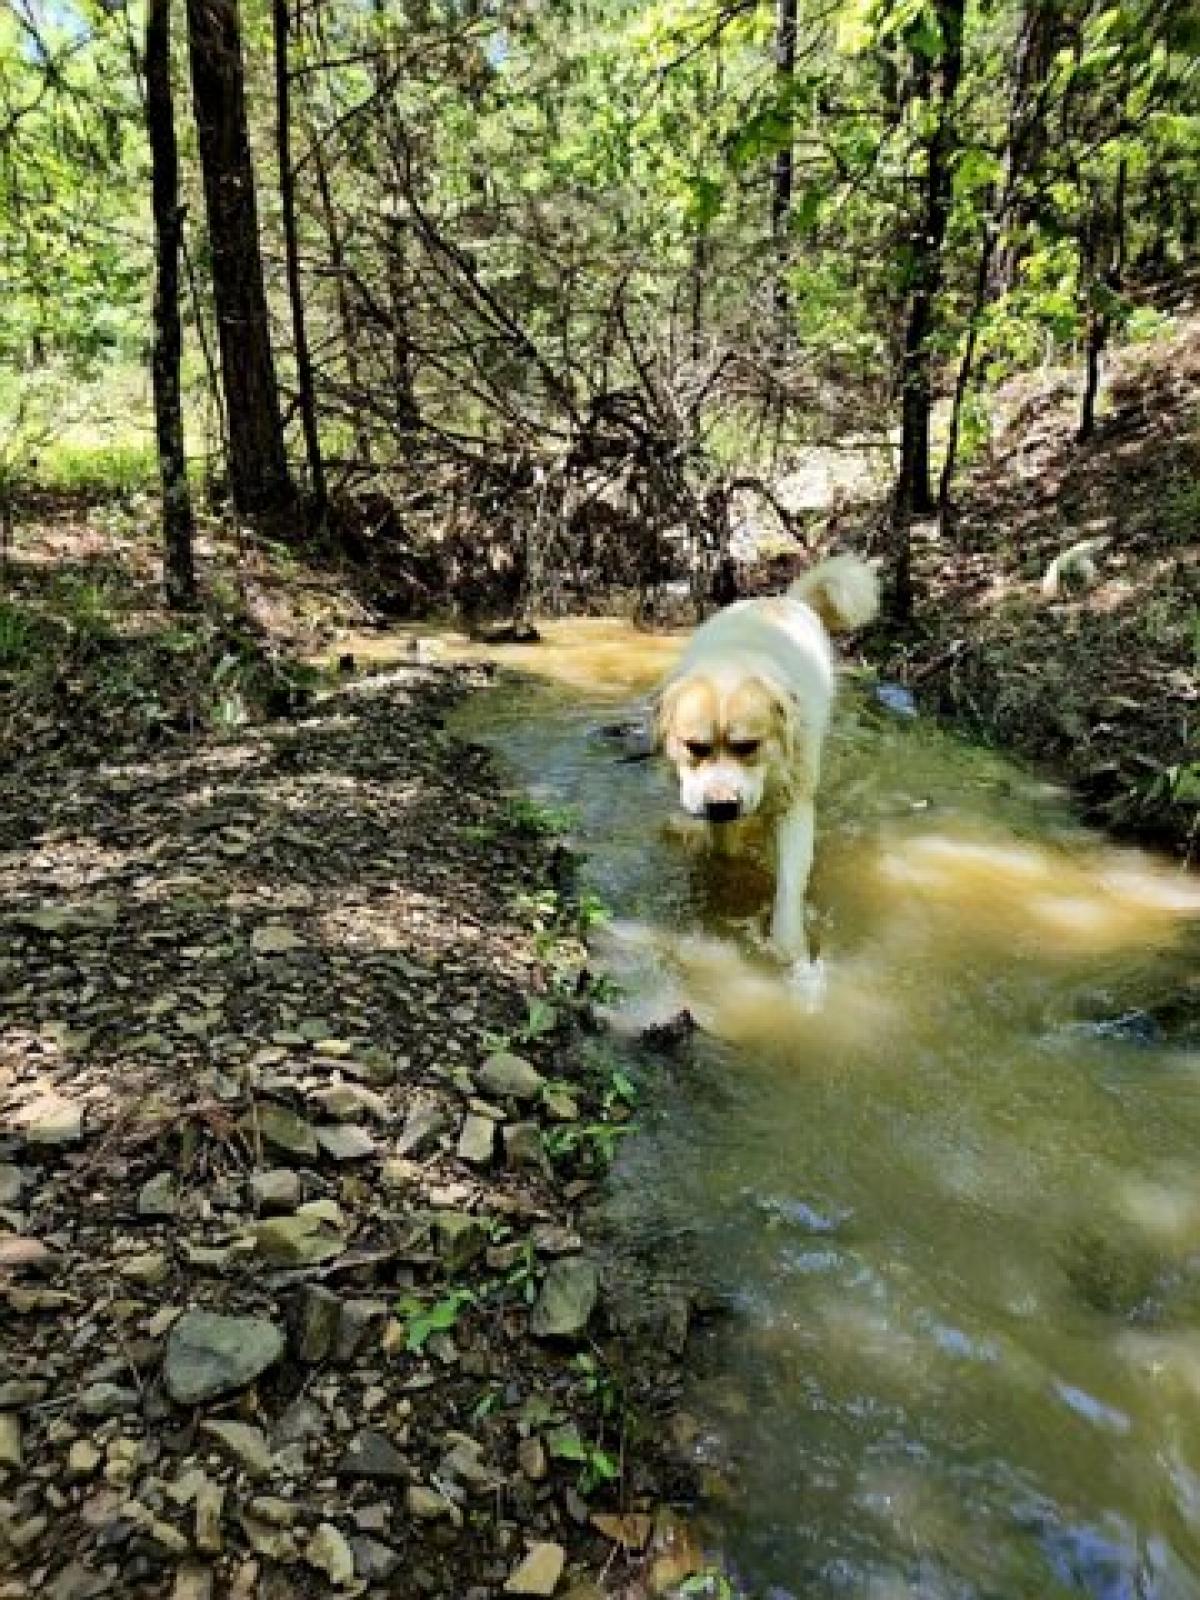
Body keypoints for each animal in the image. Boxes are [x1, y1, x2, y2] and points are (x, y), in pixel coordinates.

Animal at [652, 556, 876, 966]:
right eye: (695, 747)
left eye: (748, 746)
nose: (723, 806)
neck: (734, 661)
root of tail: (783, 599)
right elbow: (725, 848)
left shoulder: (793, 801)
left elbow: (790, 881)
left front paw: (789, 946)